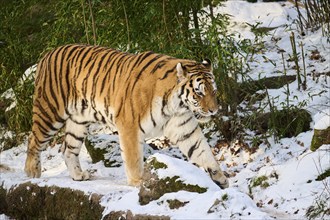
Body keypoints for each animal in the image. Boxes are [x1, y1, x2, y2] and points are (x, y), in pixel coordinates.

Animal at [24, 44, 229, 189]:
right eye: (199, 93)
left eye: (213, 91)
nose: (214, 110)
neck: (176, 105)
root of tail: (47, 53)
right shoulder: (130, 126)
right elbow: (133, 158)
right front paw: (138, 182)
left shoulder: (184, 128)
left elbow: (203, 152)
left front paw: (220, 178)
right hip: (50, 112)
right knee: (33, 140)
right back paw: (32, 172)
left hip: (79, 121)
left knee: (68, 148)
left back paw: (78, 175)